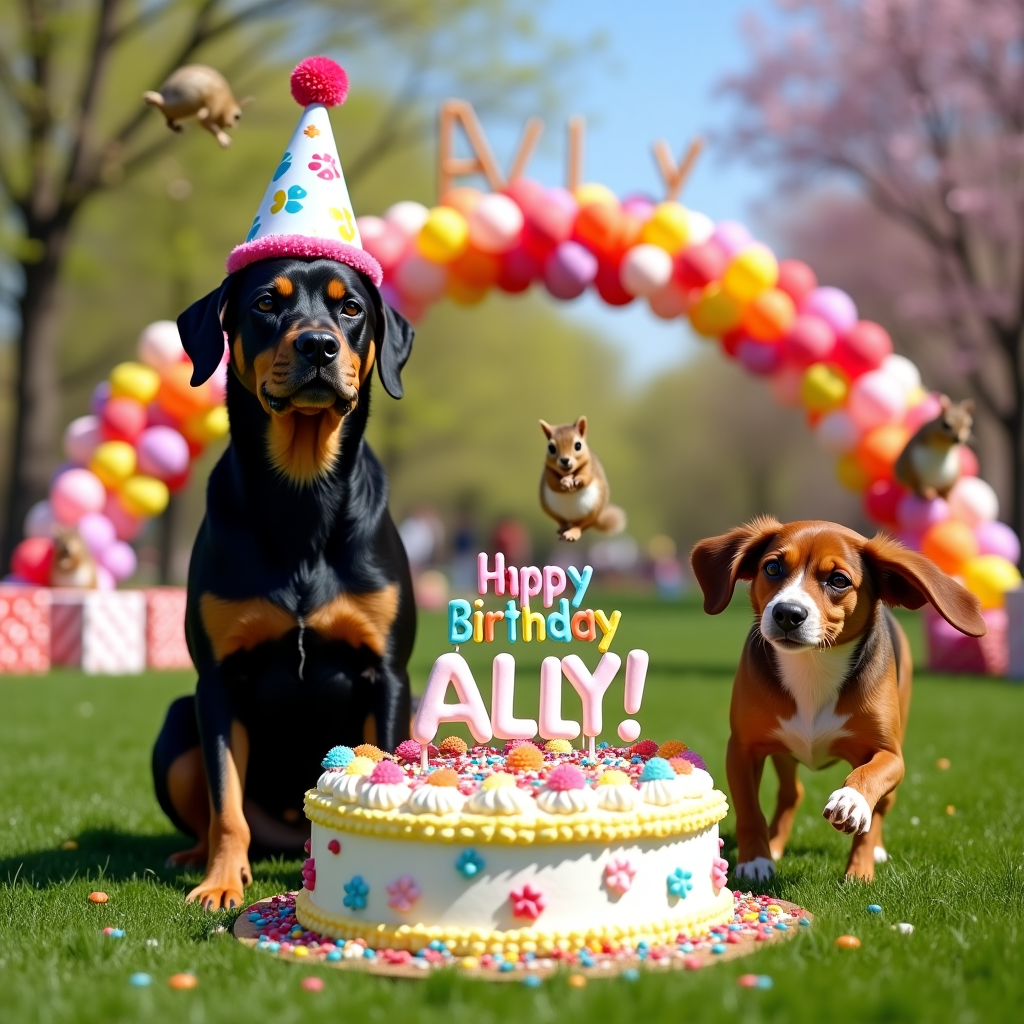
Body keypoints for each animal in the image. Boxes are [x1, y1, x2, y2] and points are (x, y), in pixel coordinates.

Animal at [151, 258, 415, 913]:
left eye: (351, 308)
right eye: (268, 302)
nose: (318, 345)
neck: (302, 494)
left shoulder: (388, 674)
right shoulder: (217, 680)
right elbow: (225, 799)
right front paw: (220, 882)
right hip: (176, 727)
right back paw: (197, 857)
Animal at [688, 516, 983, 884]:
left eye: (838, 580)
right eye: (772, 567)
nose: (787, 613)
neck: (813, 665)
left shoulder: (889, 754)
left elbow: (869, 783)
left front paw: (856, 839)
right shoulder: (742, 749)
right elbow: (749, 810)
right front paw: (755, 861)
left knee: (882, 806)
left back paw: (873, 851)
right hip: (783, 751)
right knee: (791, 793)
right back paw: (775, 845)